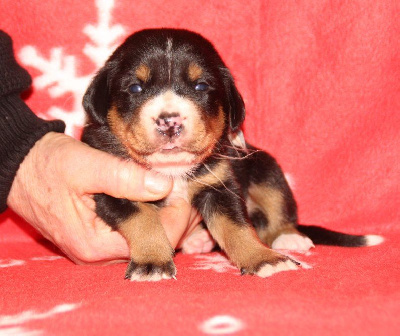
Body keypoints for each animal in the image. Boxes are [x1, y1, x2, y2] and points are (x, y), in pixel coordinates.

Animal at [80, 28, 382, 280]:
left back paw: (287, 237)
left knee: (278, 209)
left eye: (201, 86)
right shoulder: (114, 190)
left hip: (266, 168)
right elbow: (143, 219)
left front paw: (264, 259)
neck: (172, 168)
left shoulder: (219, 185)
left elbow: (237, 227)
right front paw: (152, 263)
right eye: (135, 88)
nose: (169, 121)